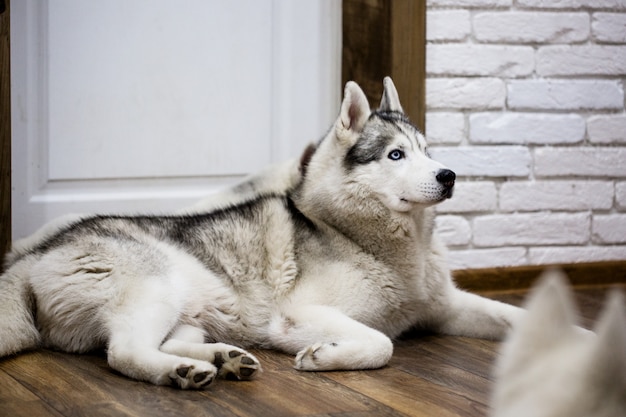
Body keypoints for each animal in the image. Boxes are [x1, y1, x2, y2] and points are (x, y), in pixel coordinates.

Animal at [0, 76, 520, 388]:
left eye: (428, 152)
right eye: (396, 155)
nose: (449, 175)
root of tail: (34, 254)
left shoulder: (445, 307)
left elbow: (516, 317)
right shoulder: (299, 315)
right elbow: (382, 343)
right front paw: (324, 357)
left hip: (190, 309)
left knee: (161, 341)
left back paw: (222, 358)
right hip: (157, 288)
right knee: (124, 353)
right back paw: (184, 371)